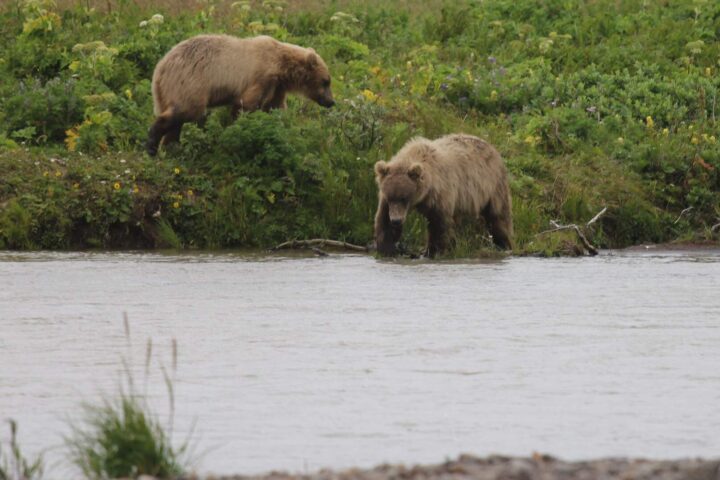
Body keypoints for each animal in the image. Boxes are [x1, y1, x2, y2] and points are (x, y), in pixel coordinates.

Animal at [148, 35, 338, 156]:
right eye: (326, 81)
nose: (331, 101)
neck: (281, 67)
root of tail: (159, 69)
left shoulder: (277, 86)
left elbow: (275, 108)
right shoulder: (260, 76)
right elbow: (246, 105)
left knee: (177, 121)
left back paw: (171, 147)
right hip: (190, 82)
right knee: (186, 111)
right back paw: (152, 145)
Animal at [374, 133, 516, 256]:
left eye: (404, 198)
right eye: (391, 197)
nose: (396, 221)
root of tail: (492, 147)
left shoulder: (440, 193)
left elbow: (439, 223)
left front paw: (432, 251)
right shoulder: (386, 199)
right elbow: (383, 219)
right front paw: (387, 248)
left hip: (492, 186)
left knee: (498, 216)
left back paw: (504, 244)